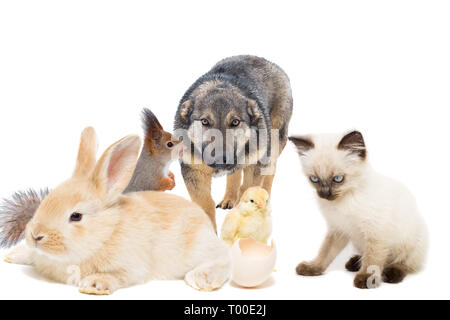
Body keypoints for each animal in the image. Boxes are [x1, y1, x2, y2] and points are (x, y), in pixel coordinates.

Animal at [0, 109, 183, 249]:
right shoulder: (148, 177)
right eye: (169, 144)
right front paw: (170, 181)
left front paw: (172, 177)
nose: (183, 149)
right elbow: (158, 184)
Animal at [2, 127, 229, 296]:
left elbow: (120, 275)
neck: (106, 233)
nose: (35, 236)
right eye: (47, 201)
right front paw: (14, 255)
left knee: (221, 260)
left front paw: (95, 283)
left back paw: (201, 279)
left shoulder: (132, 266)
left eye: (76, 216)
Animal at [290, 131, 428, 288]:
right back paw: (354, 263)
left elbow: (372, 259)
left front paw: (366, 279)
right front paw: (313, 267)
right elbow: (325, 253)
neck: (345, 200)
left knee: (405, 264)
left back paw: (391, 273)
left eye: (338, 179)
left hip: (412, 245)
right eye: (314, 179)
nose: (325, 194)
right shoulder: (338, 229)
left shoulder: (376, 233)